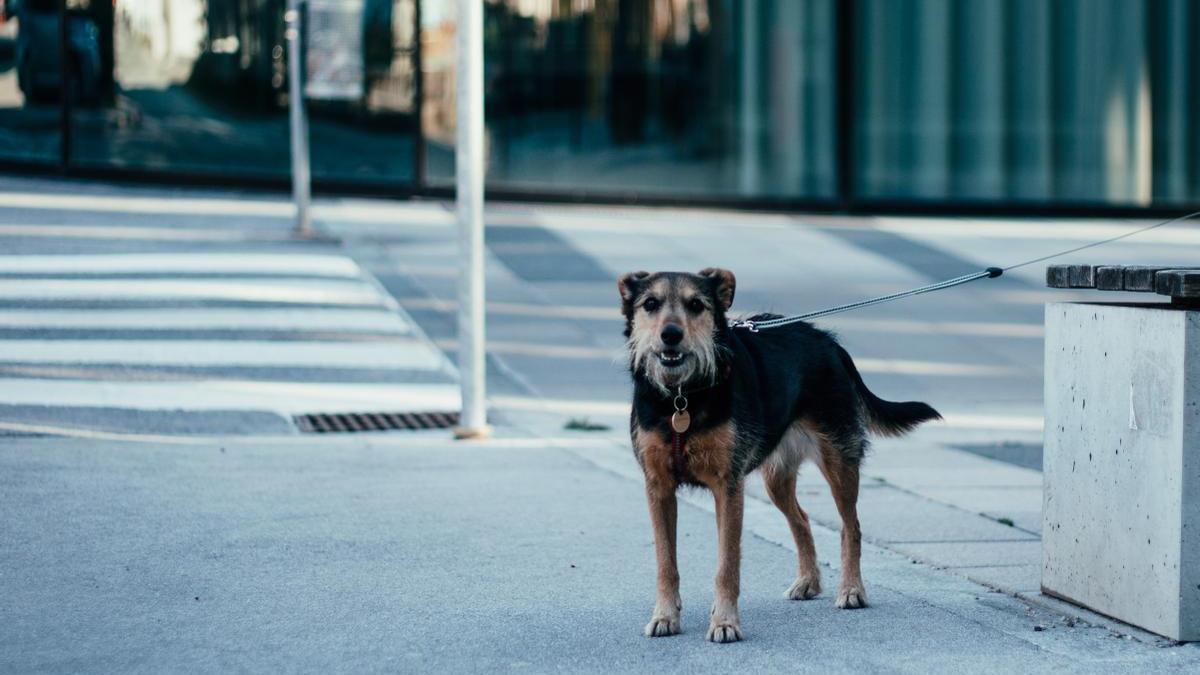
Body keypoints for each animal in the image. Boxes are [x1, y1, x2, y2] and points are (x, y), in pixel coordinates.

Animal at [619, 267, 945, 638]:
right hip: (776, 478)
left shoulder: (728, 487)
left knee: (851, 526)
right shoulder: (658, 487)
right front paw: (665, 616)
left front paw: (725, 621)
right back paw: (808, 581)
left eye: (696, 305)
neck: (682, 398)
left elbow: (727, 564)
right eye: (650, 304)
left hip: (840, 461)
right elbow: (665, 561)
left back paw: (851, 589)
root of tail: (829, 342)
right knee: (801, 519)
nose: (671, 335)